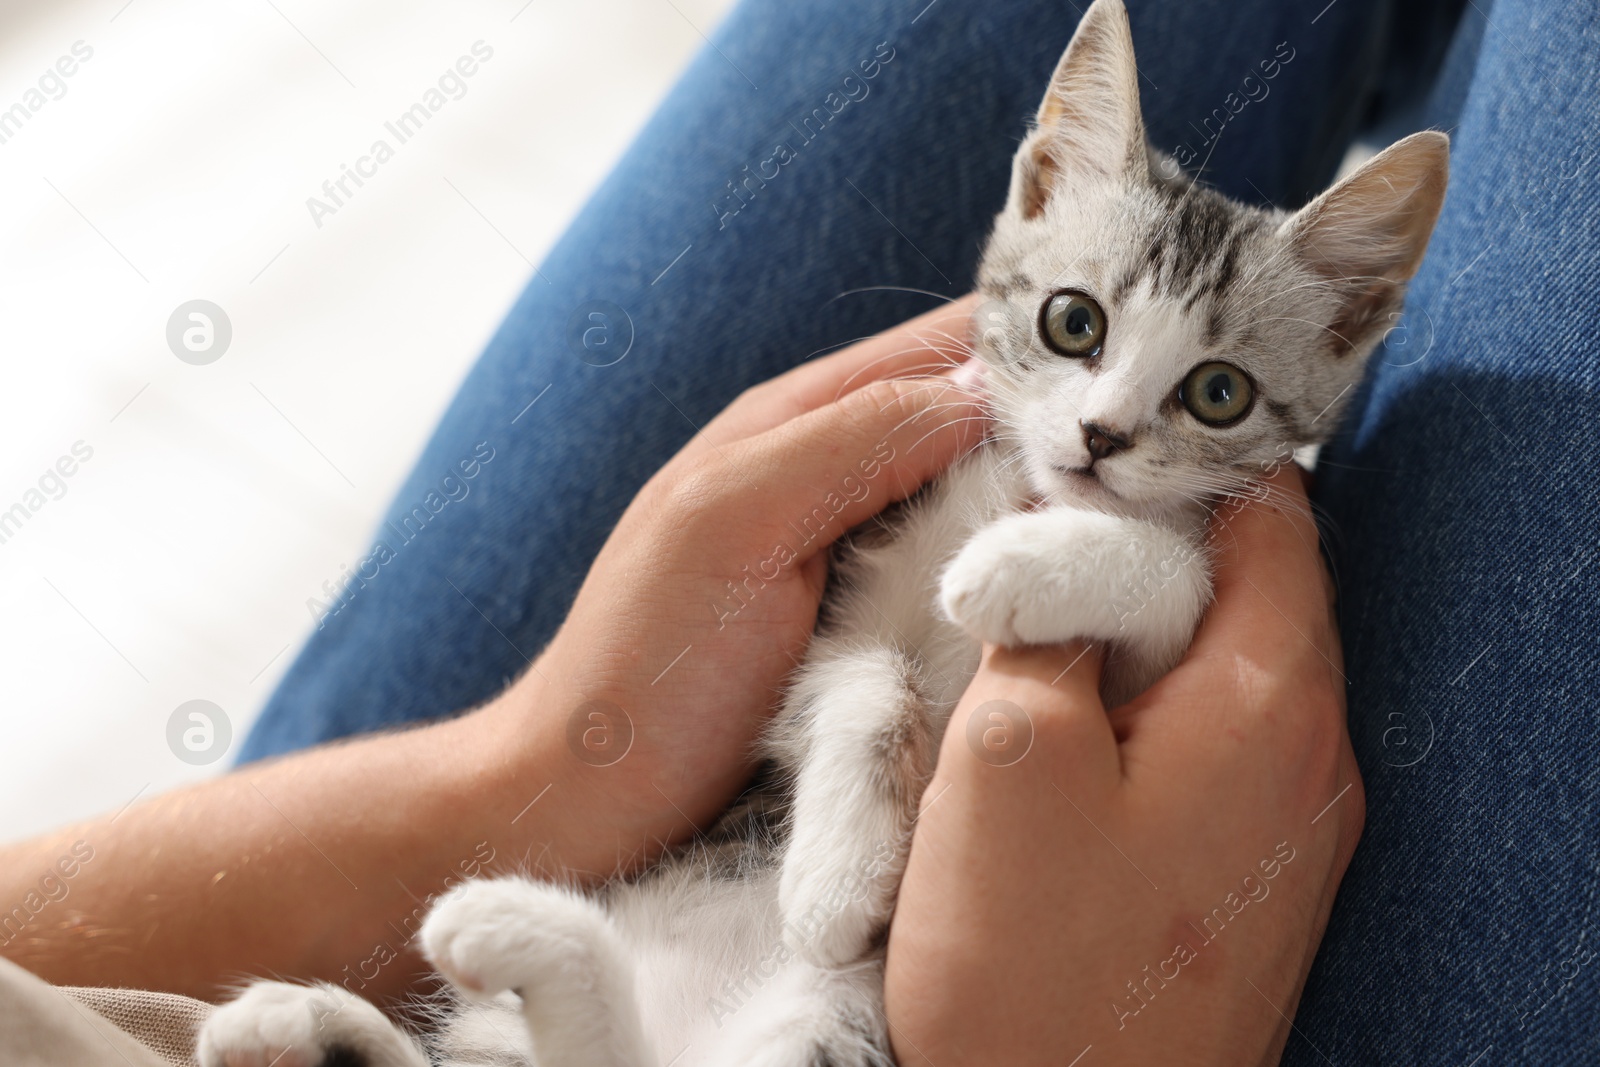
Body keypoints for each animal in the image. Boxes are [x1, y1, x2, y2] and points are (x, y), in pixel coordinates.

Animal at [196, 4, 1452, 1062]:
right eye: (1073, 321)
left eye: (1218, 394)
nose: (1098, 436)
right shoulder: (823, 619)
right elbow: (863, 680)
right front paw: (839, 876)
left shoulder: (1152, 660)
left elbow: (1172, 577)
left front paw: (1017, 566)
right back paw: (334, 1003)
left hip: (826, 1018)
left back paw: (440, 962)